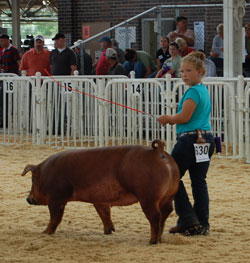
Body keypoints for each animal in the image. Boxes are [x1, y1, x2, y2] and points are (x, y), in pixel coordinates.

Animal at [22, 140, 180, 245]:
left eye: (32, 180)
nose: (28, 199)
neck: (45, 174)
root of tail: (159, 152)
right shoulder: (99, 200)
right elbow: (105, 214)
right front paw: (108, 232)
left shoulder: (56, 198)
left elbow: (55, 217)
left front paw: (45, 233)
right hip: (168, 195)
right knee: (166, 212)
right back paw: (159, 239)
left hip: (148, 197)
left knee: (155, 216)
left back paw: (152, 241)